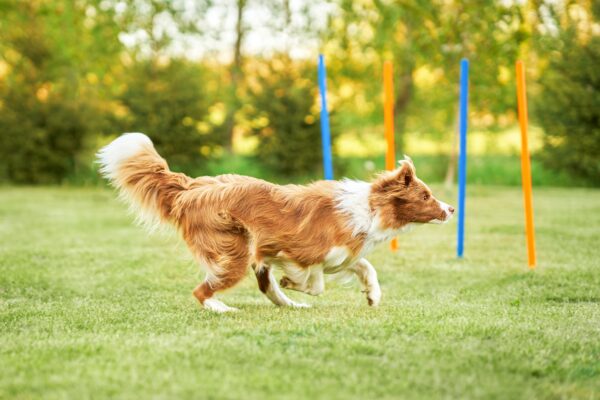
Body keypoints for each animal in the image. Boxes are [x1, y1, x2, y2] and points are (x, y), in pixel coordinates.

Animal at [97, 133, 454, 310]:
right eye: (426, 196)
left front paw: (373, 296)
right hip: (236, 249)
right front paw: (295, 284)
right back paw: (222, 308)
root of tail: (192, 187)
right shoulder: (296, 251)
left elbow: (366, 268)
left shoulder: (341, 256)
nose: (451, 209)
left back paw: (291, 305)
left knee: (264, 286)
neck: (369, 209)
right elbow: (316, 283)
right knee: (204, 290)